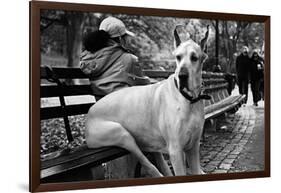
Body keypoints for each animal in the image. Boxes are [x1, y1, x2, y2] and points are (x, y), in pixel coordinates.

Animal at [85, 25, 210, 176]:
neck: (189, 100)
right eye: (178, 57)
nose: (182, 76)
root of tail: (90, 112)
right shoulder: (176, 150)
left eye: (194, 58)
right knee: (146, 162)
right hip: (121, 134)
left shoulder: (193, 147)